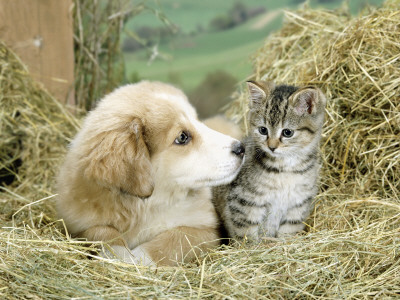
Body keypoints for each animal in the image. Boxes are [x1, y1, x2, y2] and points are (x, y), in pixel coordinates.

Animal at [55, 81, 244, 266]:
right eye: (182, 137)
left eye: (198, 121)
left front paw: (140, 257)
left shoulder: (208, 228)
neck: (147, 205)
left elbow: (177, 238)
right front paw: (118, 254)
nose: (241, 148)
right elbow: (100, 231)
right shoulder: (76, 224)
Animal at [212, 80, 324, 241]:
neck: (286, 168)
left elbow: (288, 230)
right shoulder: (244, 201)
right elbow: (246, 232)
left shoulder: (298, 204)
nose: (271, 147)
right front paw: (251, 246)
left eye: (287, 132)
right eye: (263, 130)